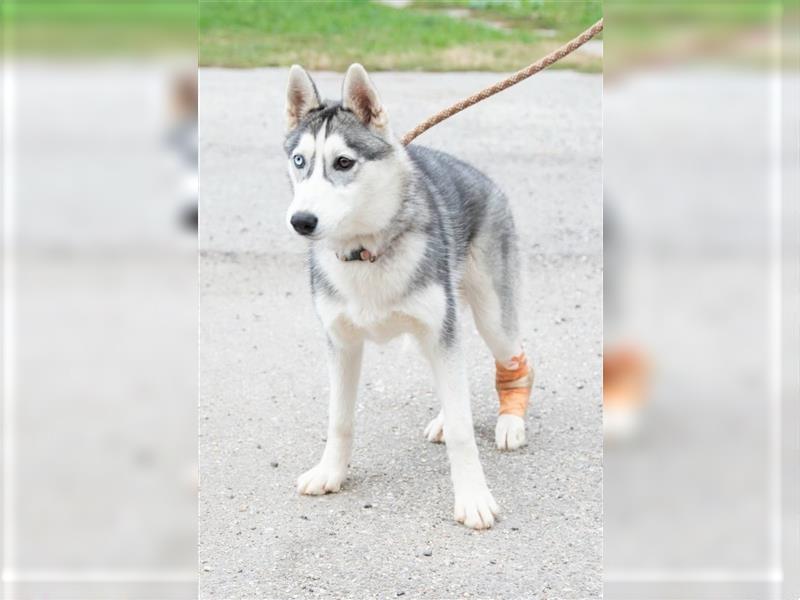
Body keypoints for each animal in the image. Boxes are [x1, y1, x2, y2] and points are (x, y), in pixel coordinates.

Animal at [284, 63, 528, 528]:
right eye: (299, 161)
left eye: (343, 162)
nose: (301, 221)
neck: (365, 252)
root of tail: (479, 175)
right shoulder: (342, 344)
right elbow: (339, 419)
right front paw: (331, 472)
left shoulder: (441, 334)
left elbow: (463, 431)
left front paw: (473, 497)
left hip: (492, 320)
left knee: (513, 360)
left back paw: (511, 421)